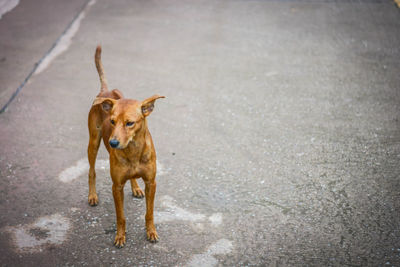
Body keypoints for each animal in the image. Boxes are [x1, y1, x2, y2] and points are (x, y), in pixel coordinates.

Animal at [87, 45, 164, 248]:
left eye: (130, 123)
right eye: (112, 121)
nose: (113, 143)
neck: (133, 151)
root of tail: (105, 93)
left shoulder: (151, 183)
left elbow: (149, 213)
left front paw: (151, 232)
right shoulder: (117, 186)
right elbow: (120, 216)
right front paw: (120, 236)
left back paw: (136, 187)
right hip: (93, 142)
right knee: (91, 171)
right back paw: (92, 195)